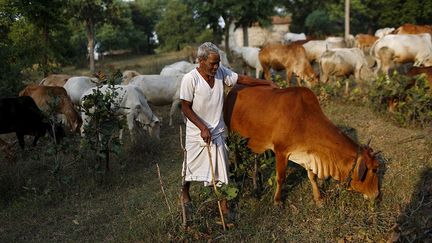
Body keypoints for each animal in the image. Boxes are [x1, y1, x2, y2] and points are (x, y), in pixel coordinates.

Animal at [224, 84, 380, 206]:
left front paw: (318, 198)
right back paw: (238, 175)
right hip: (232, 136)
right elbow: (280, 178)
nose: (377, 194)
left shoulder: (309, 154)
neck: (304, 120)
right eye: (374, 169)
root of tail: (233, 89)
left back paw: (257, 185)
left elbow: (312, 177)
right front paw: (277, 200)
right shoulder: (281, 151)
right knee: (237, 155)